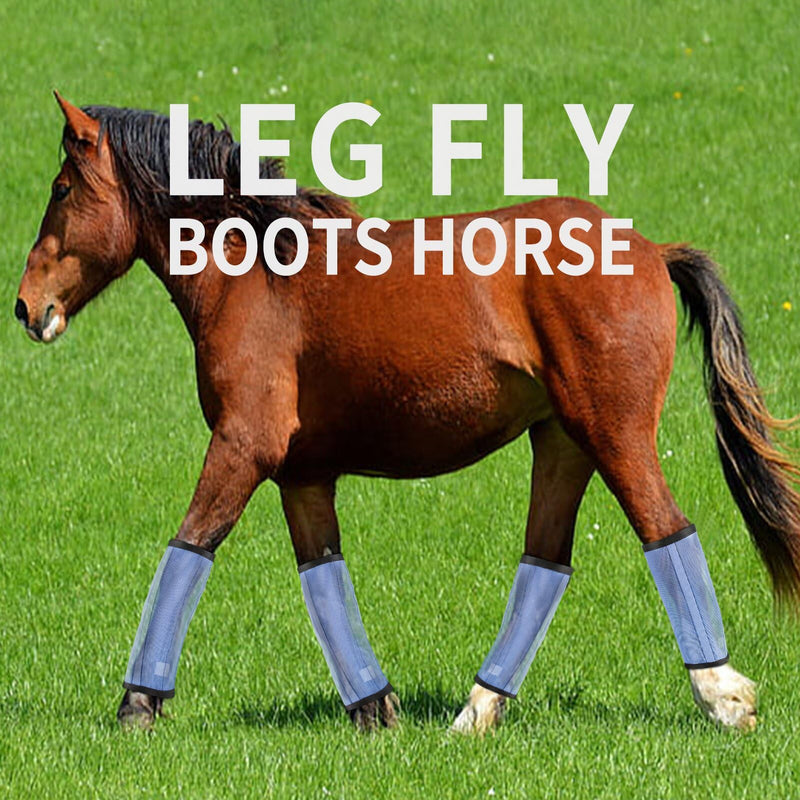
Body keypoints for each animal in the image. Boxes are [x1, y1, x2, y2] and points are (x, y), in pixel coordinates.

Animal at [15, 93, 800, 734]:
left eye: (61, 188)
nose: (26, 307)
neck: (256, 273)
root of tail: (651, 248)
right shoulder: (302, 476)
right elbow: (323, 576)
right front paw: (374, 708)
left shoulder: (243, 447)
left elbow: (188, 546)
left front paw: (137, 704)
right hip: (563, 445)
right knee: (545, 559)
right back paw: (475, 713)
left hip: (614, 436)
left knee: (667, 531)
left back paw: (723, 698)